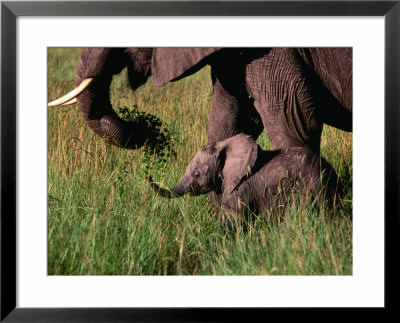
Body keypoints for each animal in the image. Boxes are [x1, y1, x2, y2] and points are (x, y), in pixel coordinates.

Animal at [147, 133, 340, 224]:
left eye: (196, 174)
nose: (148, 174)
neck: (223, 145)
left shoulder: (241, 185)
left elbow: (232, 217)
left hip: (310, 186)